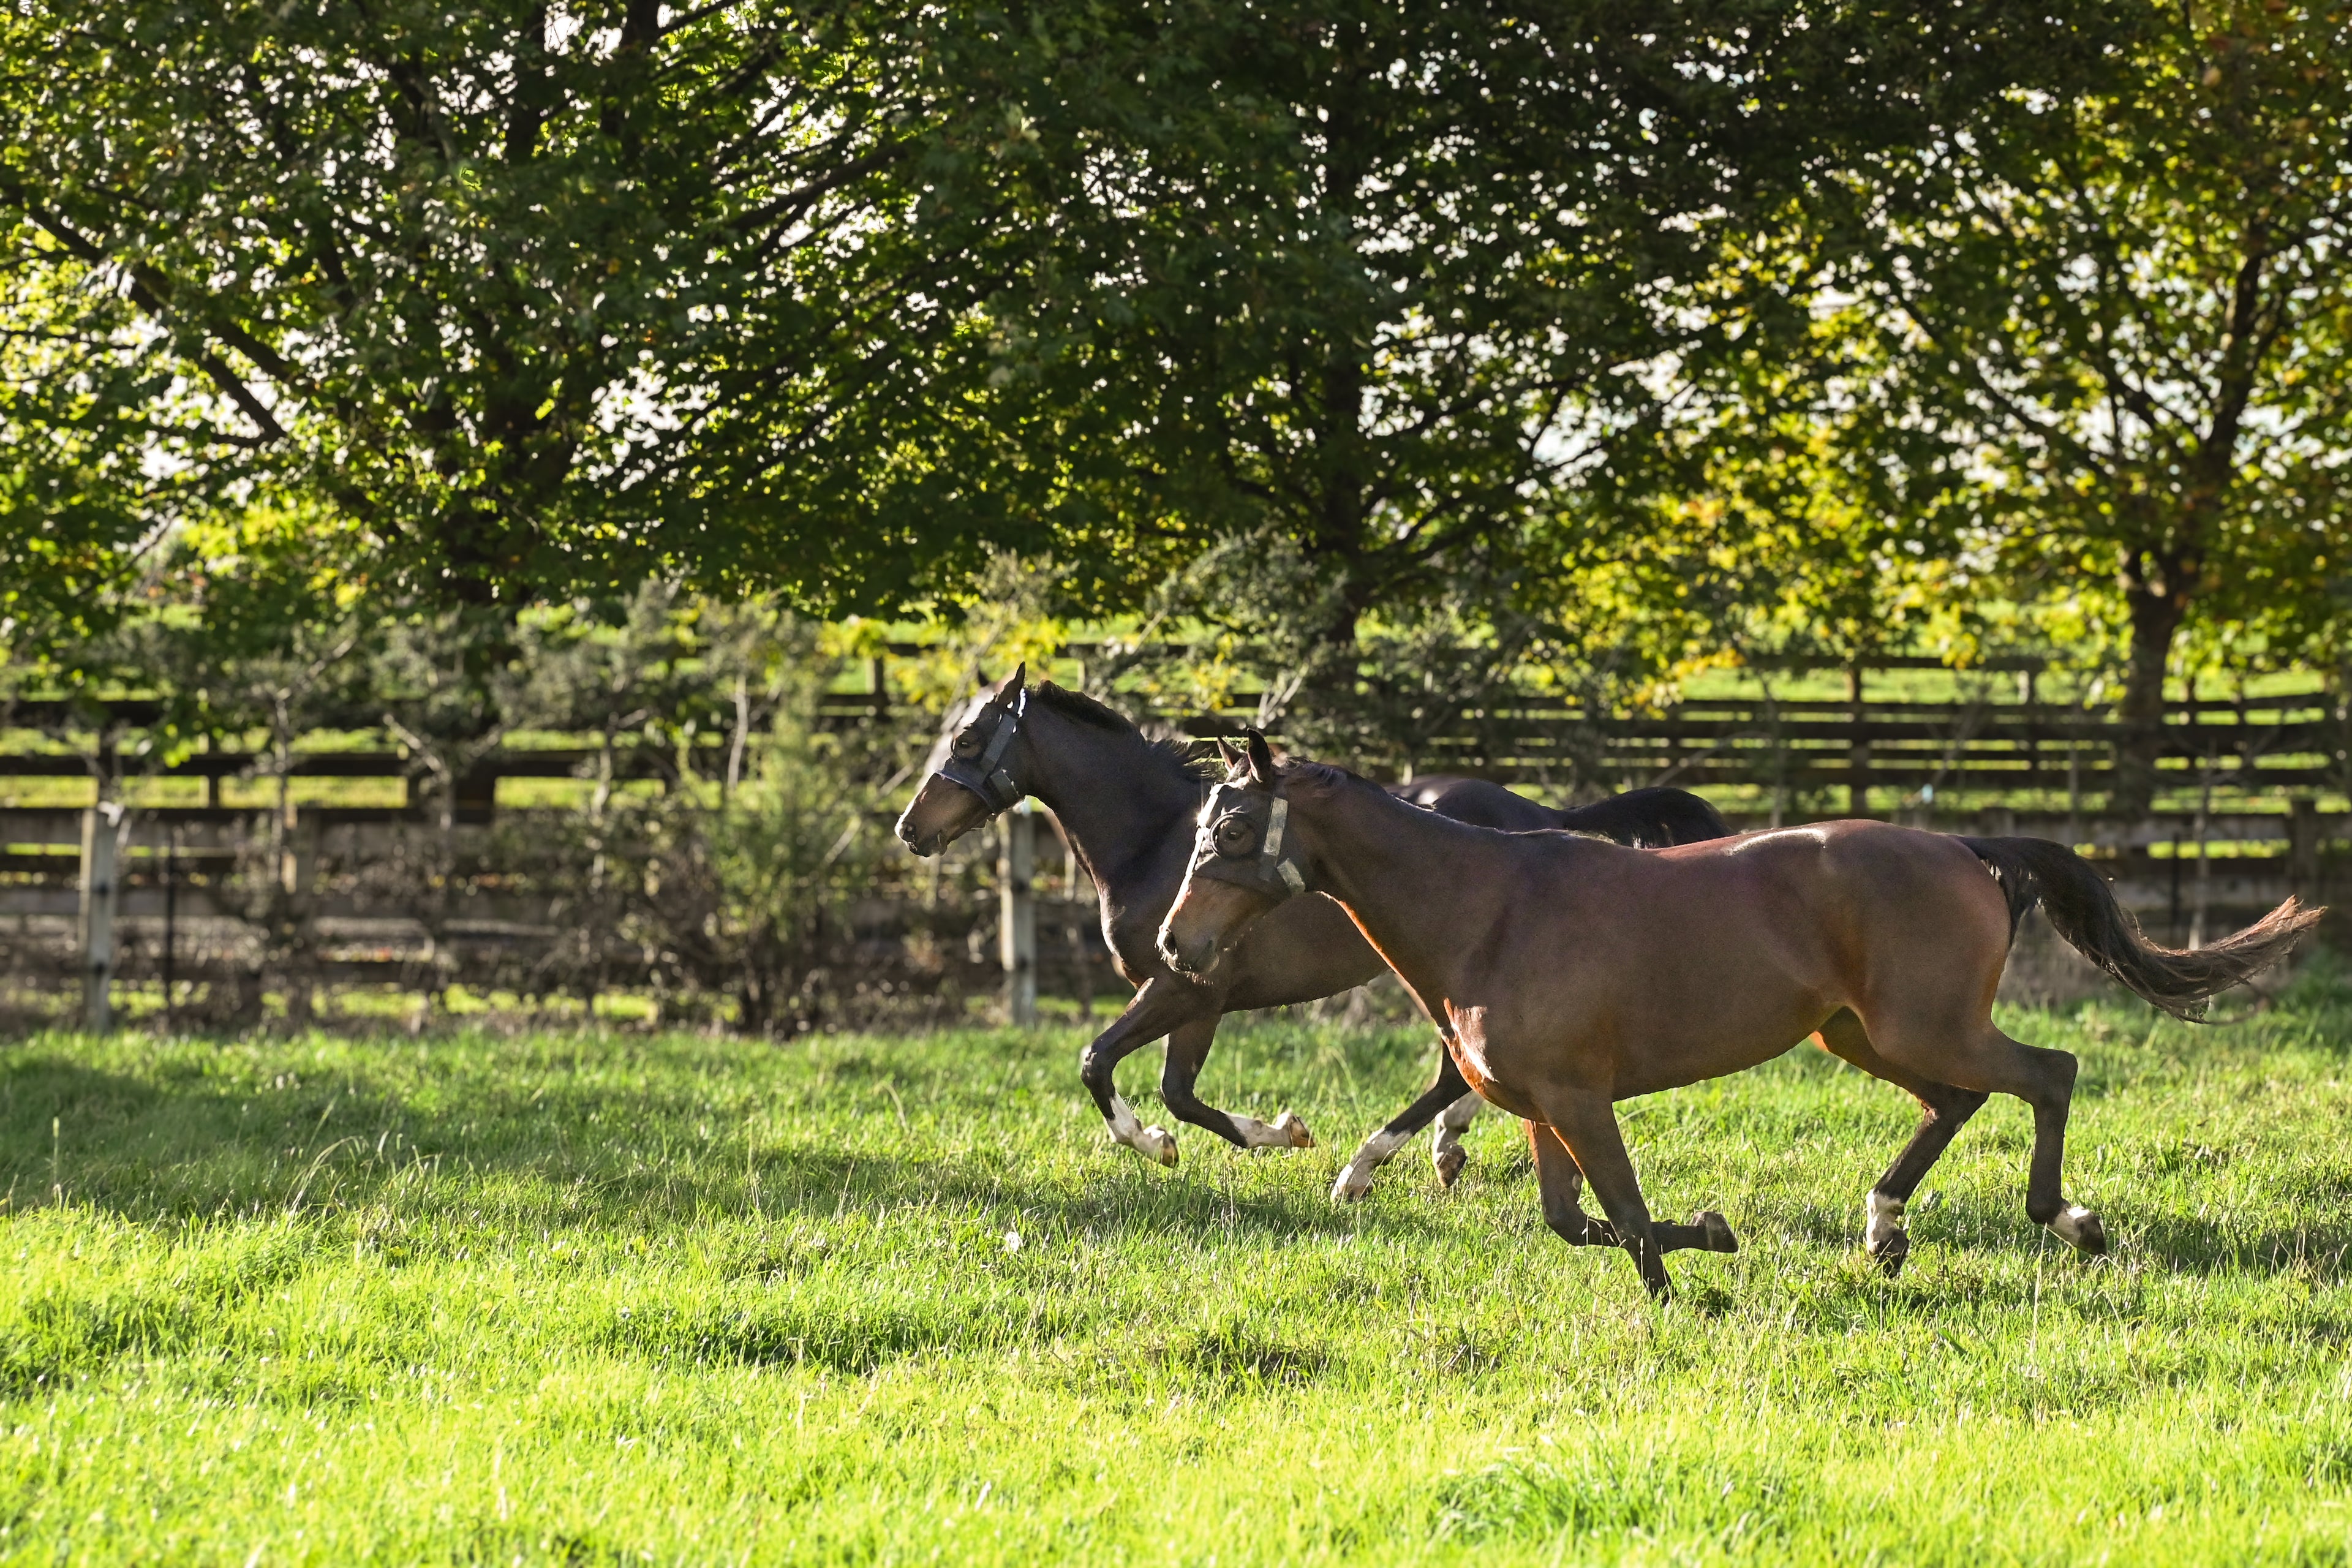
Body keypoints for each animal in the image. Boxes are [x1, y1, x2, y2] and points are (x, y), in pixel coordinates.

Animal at [894, 668, 1731, 1194]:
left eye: (967, 742)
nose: (910, 828)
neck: (1155, 840)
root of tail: (1530, 813)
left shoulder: (1188, 988)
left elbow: (1112, 1068)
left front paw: (1249, 1136)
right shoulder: (1188, 993)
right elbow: (1171, 1089)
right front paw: (1232, 1136)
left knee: (1454, 1070)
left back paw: (1378, 1162)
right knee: (1458, 1073)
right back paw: (1442, 1145)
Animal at [1157, 738, 2314, 1297]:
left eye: (1237, 829)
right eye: (1205, 823)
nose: (1174, 945)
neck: (1487, 908)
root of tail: (1965, 848)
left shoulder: (1580, 1097)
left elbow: (1625, 1215)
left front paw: (1692, 1268)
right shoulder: (1539, 1107)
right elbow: (1568, 1220)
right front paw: (1702, 1242)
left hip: (1923, 1026)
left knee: (2048, 1074)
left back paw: (2067, 1220)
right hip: (1856, 1033)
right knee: (1956, 1102)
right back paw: (1884, 1229)